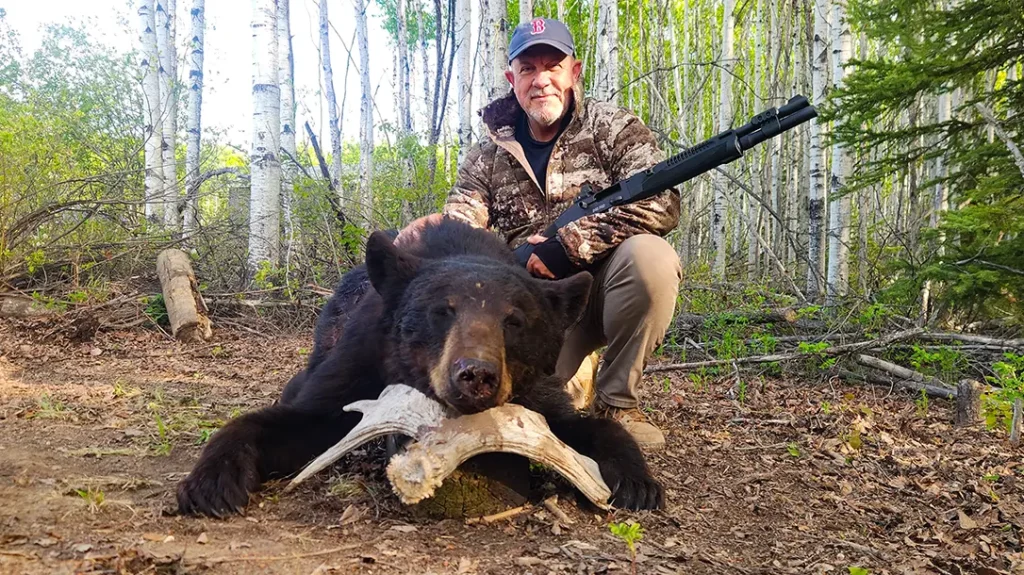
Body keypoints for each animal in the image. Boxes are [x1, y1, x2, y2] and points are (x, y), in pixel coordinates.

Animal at [176, 218, 664, 516]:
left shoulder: (538, 395)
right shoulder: (360, 362)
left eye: (514, 321)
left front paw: (638, 483)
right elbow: (292, 419)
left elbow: (588, 427)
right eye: (442, 311)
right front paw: (211, 484)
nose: (476, 374)